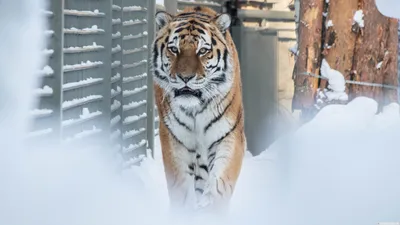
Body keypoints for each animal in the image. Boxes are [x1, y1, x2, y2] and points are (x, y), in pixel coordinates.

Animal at [152, 5, 245, 212]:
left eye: (202, 51)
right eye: (174, 49)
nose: (185, 77)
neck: (195, 109)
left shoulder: (229, 135)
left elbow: (220, 182)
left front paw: (210, 210)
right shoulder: (174, 138)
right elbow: (180, 188)